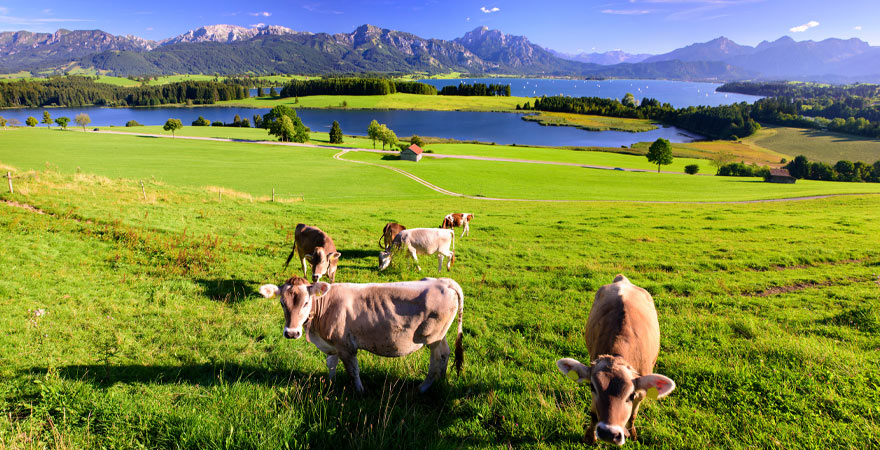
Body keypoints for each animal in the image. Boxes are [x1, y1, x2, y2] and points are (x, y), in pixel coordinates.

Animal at [258, 274, 464, 394]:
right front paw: (330, 385)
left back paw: (423, 387)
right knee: (445, 355)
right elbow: (331, 365)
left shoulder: (346, 346)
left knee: (438, 356)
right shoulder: (332, 345)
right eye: (282, 303)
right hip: (441, 335)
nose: (291, 333)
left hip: (433, 337)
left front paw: (359, 391)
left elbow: (353, 371)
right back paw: (440, 381)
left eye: (306, 302)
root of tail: (445, 282)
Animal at [556, 274, 672, 446]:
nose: (608, 433)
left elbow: (633, 415)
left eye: (631, 395)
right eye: (593, 387)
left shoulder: (641, 392)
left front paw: (633, 434)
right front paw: (590, 437)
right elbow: (594, 414)